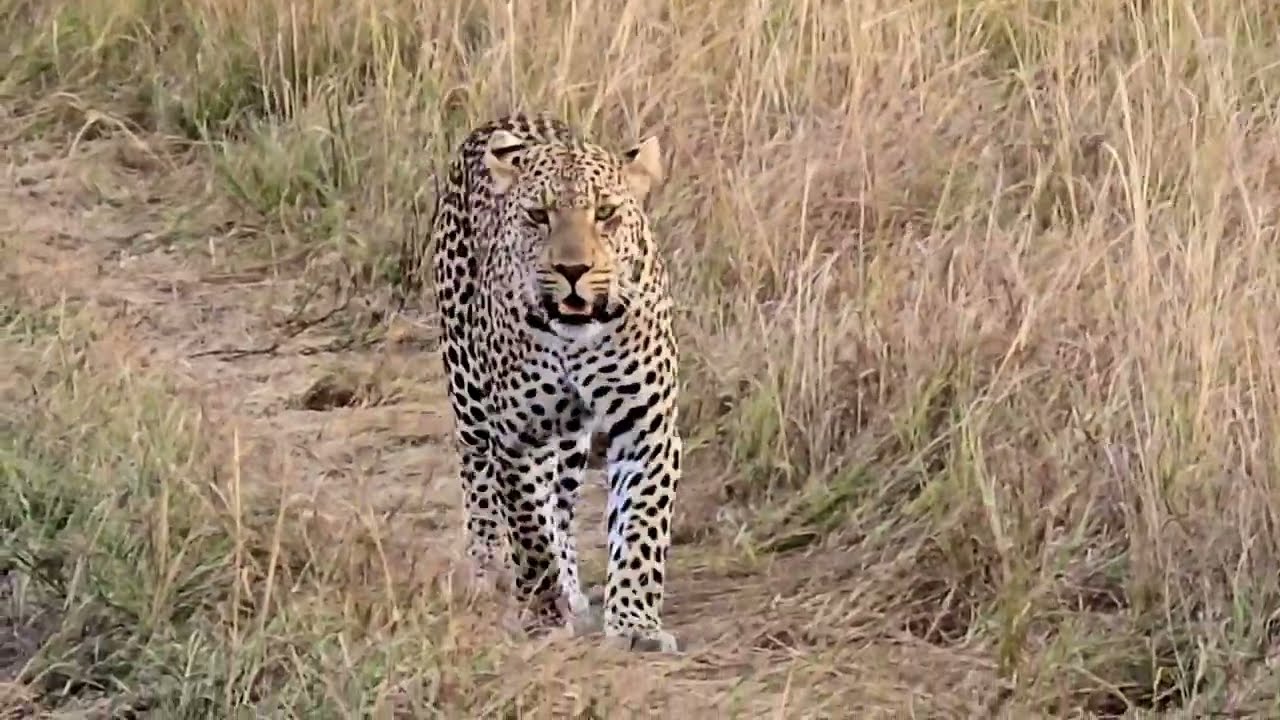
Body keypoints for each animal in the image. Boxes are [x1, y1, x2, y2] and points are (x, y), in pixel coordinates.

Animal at [414, 113, 683, 653]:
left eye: (605, 213)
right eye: (539, 216)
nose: (573, 269)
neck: (574, 339)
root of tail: (503, 118)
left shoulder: (646, 427)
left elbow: (640, 526)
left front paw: (635, 624)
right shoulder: (521, 435)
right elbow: (528, 526)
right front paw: (542, 606)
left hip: (573, 444)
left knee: (561, 504)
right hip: (467, 390)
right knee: (480, 481)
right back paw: (489, 570)